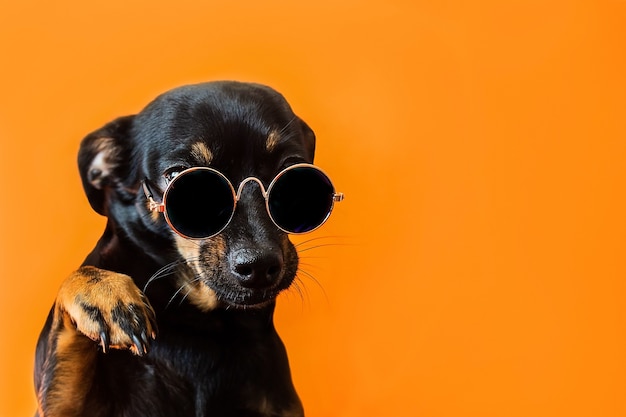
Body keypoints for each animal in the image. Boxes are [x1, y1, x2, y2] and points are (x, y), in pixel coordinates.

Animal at [34, 82, 342, 416]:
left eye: (294, 176)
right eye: (177, 177)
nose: (259, 264)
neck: (205, 321)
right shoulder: (60, 408)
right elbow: (75, 283)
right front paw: (106, 295)